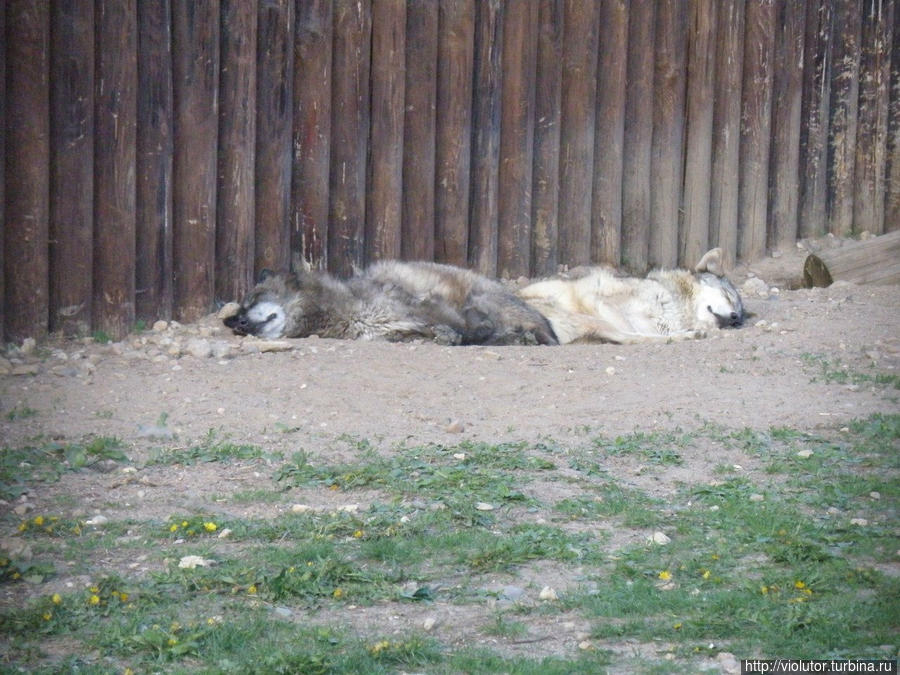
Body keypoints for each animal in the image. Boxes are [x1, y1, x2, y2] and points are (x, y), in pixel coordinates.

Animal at [222, 258, 560, 344]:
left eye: (253, 299)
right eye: (237, 317)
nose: (237, 323)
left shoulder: (427, 305)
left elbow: (466, 329)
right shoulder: (394, 330)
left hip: (481, 296)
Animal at [516, 248, 748, 344]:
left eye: (739, 320)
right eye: (728, 296)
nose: (735, 318)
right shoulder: (601, 303)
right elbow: (636, 331)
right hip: (592, 319)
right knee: (633, 338)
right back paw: (689, 335)